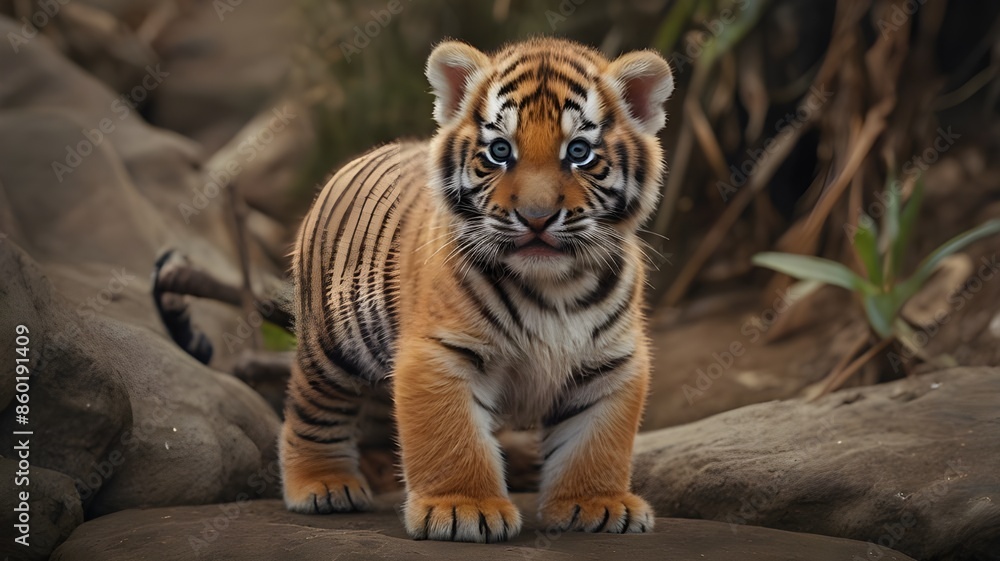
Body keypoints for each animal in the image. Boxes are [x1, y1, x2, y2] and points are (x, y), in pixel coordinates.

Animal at [280, 37, 674, 543]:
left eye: (579, 152)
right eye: (500, 151)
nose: (536, 217)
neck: (555, 285)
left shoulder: (610, 363)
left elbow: (596, 441)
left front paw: (597, 504)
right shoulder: (442, 352)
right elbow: (453, 438)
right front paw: (461, 509)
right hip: (331, 346)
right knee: (312, 410)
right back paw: (323, 485)